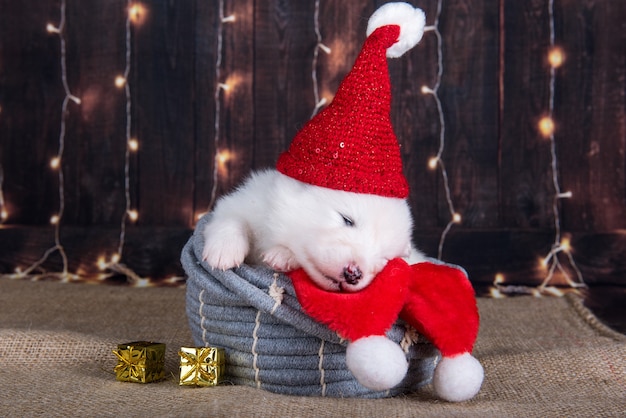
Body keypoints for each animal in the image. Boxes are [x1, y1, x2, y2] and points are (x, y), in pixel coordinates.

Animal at [200, 168, 424, 292]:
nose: (354, 274)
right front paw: (225, 250)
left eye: (386, 258)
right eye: (347, 220)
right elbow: (231, 218)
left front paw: (282, 255)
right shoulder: (247, 202)